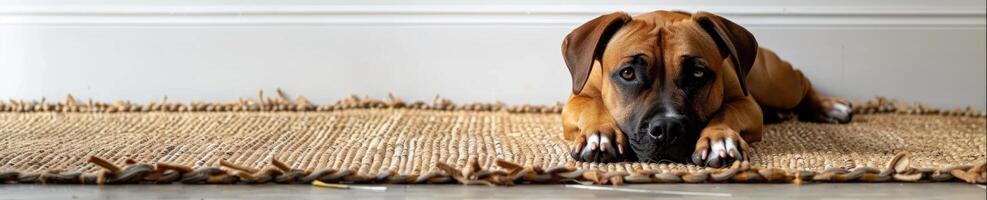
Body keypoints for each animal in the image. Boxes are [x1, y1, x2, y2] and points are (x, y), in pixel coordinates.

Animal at [560, 10, 852, 167]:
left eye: (698, 73)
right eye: (628, 73)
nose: (667, 128)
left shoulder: (747, 105)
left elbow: (727, 112)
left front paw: (718, 140)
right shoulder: (577, 100)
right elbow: (594, 105)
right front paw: (601, 135)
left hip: (775, 83)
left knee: (802, 82)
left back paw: (829, 107)